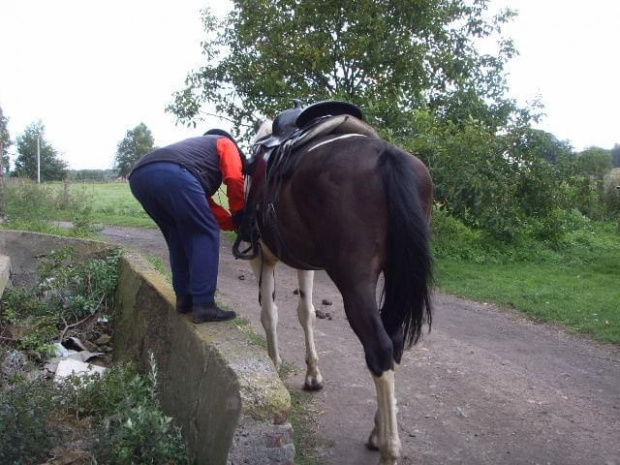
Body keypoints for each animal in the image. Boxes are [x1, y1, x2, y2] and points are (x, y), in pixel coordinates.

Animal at [235, 102, 434, 464]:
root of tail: (387, 155)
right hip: (393, 277)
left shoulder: (263, 259)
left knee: (380, 349)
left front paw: (274, 364)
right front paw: (312, 375)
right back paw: (378, 430)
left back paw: (389, 447)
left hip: (354, 282)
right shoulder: (305, 264)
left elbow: (269, 314)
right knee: (394, 342)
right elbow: (307, 314)